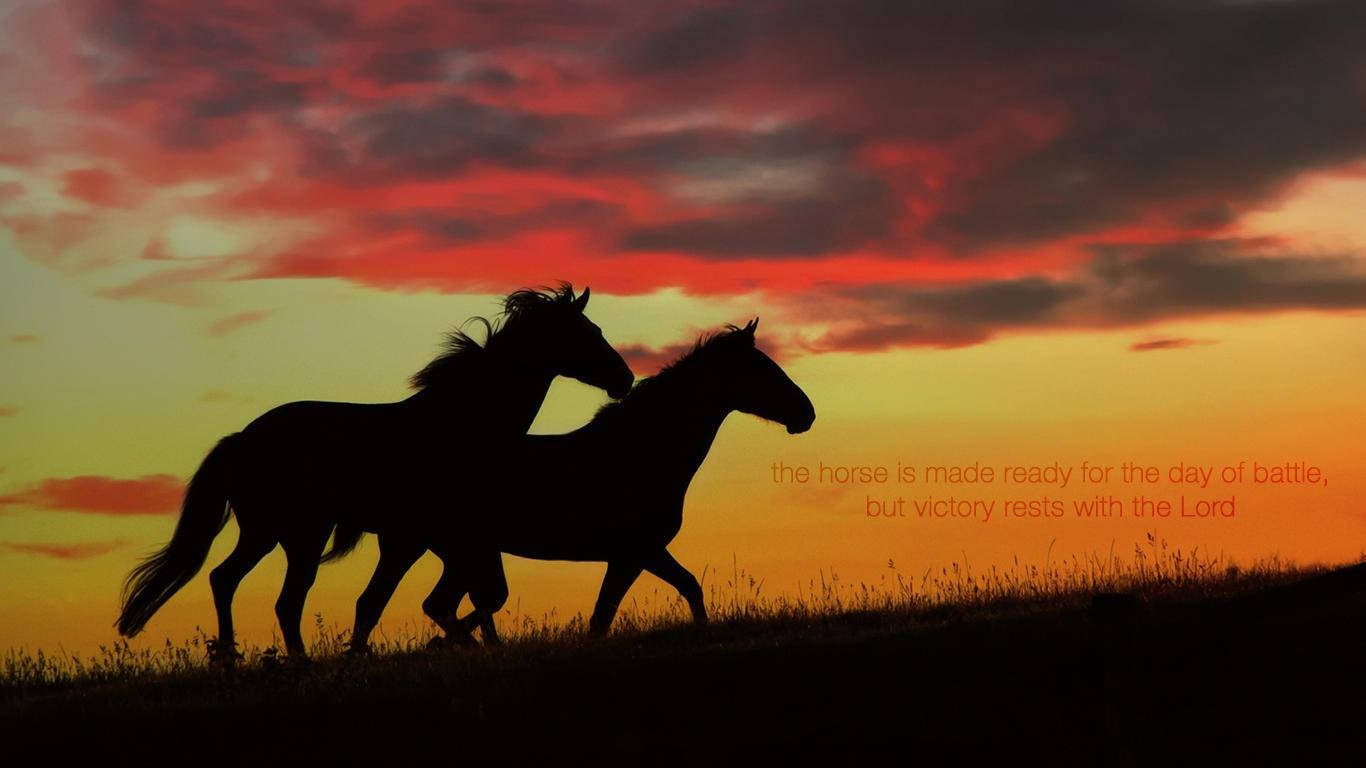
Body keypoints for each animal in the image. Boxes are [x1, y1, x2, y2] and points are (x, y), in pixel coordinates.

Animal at [116, 285, 633, 661]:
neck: (458, 424)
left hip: (268, 533)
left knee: (227, 580)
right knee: (280, 598)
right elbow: (394, 602)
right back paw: (286, 662)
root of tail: (242, 439)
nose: (625, 379)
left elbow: (426, 601)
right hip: (297, 534)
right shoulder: (417, 539)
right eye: (588, 332)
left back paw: (231, 658)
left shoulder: (436, 540)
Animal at [347, 318, 814, 651]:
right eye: (763, 370)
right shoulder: (633, 553)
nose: (806, 413)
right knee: (435, 604)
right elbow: (604, 618)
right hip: (445, 550)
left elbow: (685, 589)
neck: (641, 453)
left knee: (433, 603)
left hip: (452, 552)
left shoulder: (641, 553)